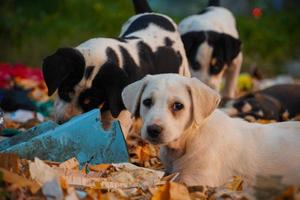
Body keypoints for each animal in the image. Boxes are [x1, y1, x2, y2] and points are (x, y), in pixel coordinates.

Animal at [120, 74, 300, 188]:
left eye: (178, 106)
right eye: (147, 102)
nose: (153, 130)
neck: (188, 140)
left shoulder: (197, 180)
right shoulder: (169, 171)